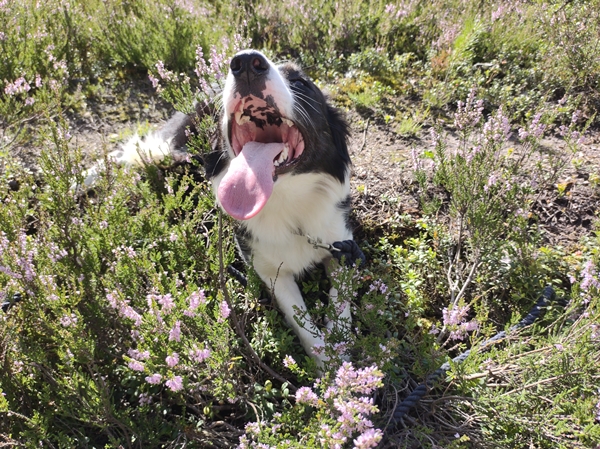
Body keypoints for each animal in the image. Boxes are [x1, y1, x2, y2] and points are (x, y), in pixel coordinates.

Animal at [83, 50, 366, 366]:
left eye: (300, 82)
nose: (247, 62)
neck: (287, 204)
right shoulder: (269, 270)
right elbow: (303, 324)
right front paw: (328, 365)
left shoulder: (340, 244)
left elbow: (341, 303)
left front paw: (340, 353)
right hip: (167, 148)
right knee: (130, 151)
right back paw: (80, 179)